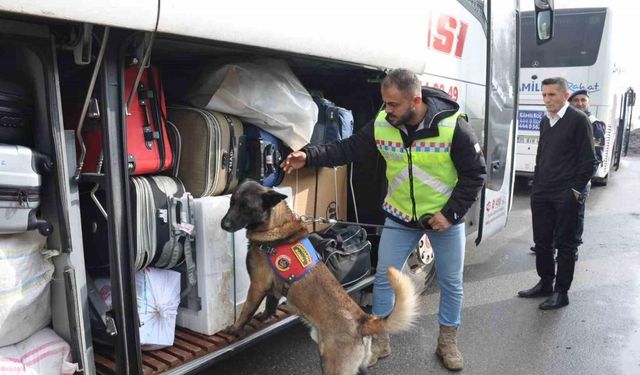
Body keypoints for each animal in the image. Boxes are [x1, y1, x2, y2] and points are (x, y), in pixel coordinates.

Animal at [220, 181, 420, 374]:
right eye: (231, 203)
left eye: (246, 207)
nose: (224, 225)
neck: (276, 226)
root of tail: (362, 321)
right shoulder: (272, 289)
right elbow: (269, 305)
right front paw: (264, 318)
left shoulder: (257, 286)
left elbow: (246, 311)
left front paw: (235, 329)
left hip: (332, 365)